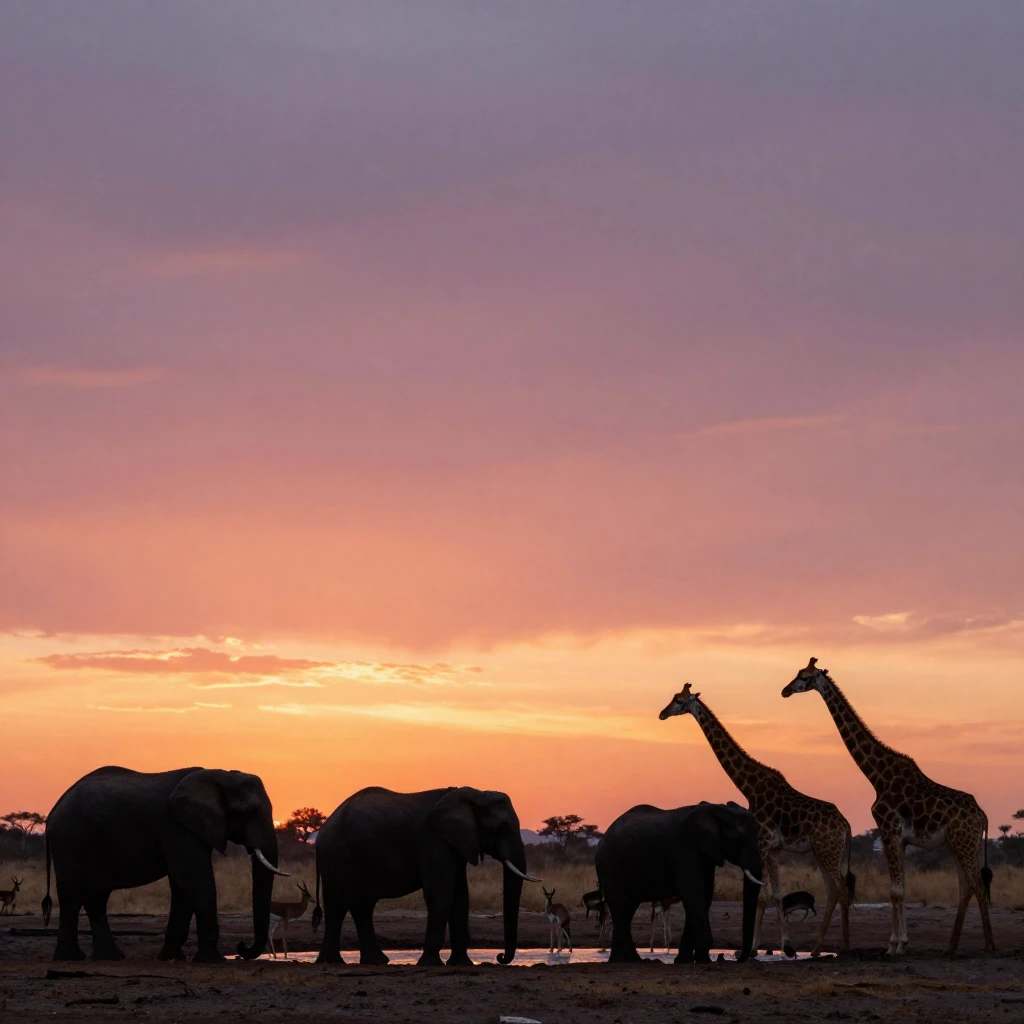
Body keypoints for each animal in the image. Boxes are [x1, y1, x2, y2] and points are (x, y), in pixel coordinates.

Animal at [42, 766, 289, 962]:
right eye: (248, 812)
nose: (241, 947)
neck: (217, 775)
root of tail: (53, 811)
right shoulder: (176, 828)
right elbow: (196, 879)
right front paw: (212, 960)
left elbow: (182, 886)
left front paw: (171, 957)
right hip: (71, 840)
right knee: (72, 896)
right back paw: (70, 958)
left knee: (97, 898)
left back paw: (109, 957)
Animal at [312, 786, 540, 966]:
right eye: (502, 828)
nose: (500, 957)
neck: (473, 794)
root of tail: (321, 832)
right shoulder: (432, 839)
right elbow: (441, 893)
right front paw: (431, 964)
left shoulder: (454, 843)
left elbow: (460, 896)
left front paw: (461, 964)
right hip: (337, 856)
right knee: (338, 905)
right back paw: (334, 962)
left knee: (361, 906)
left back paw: (373, 961)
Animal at [595, 801, 764, 963]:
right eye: (737, 838)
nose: (736, 958)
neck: (715, 808)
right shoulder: (684, 850)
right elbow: (693, 893)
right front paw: (704, 961)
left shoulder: (705, 855)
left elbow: (704, 894)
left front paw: (685, 961)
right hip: (611, 868)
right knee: (621, 909)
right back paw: (620, 961)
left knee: (626, 911)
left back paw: (635, 961)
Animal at [660, 683, 854, 958]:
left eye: (679, 700)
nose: (662, 714)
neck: (750, 788)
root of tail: (845, 825)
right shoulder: (774, 848)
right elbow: (777, 894)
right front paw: (784, 947)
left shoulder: (762, 843)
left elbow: (763, 895)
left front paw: (758, 948)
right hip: (822, 852)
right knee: (833, 891)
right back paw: (816, 949)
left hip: (828, 851)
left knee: (842, 889)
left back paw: (844, 947)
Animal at [781, 657, 994, 957]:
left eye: (805, 677)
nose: (785, 691)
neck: (877, 776)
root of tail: (983, 816)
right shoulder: (900, 838)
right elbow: (900, 888)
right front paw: (900, 943)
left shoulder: (887, 828)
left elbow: (895, 890)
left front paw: (893, 946)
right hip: (959, 844)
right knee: (967, 887)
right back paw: (951, 947)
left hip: (963, 843)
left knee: (976, 884)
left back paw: (988, 945)